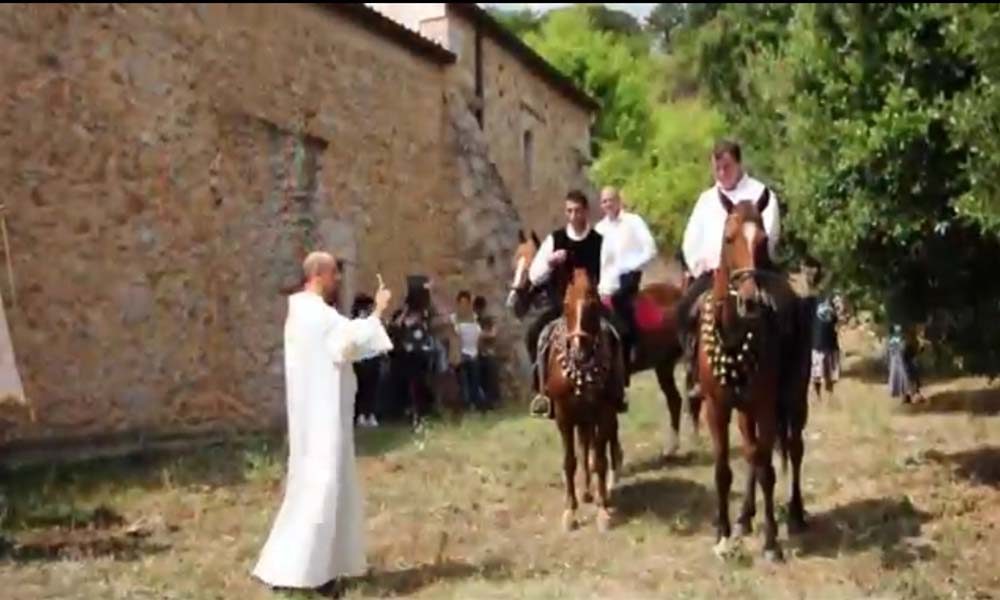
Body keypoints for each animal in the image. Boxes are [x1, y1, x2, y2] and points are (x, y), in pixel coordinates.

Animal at [504, 232, 700, 458]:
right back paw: (673, 447)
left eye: (530, 266)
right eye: (514, 264)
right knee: (675, 400)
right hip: (664, 365)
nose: (513, 304)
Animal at [544, 270, 620, 532]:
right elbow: (570, 461)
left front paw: (603, 510)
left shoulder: (604, 412)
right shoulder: (564, 416)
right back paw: (586, 492)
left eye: (594, 305)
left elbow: (599, 460)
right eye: (566, 305)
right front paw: (571, 511)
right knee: (584, 447)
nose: (579, 352)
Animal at [700, 189, 808, 564]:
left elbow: (767, 470)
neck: (734, 336)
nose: (749, 301)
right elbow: (723, 469)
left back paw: (797, 513)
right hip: (745, 412)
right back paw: (745, 517)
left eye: (762, 240)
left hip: (795, 400)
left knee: (794, 449)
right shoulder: (716, 408)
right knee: (749, 453)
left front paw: (772, 542)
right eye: (728, 238)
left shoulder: (764, 407)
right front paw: (722, 534)